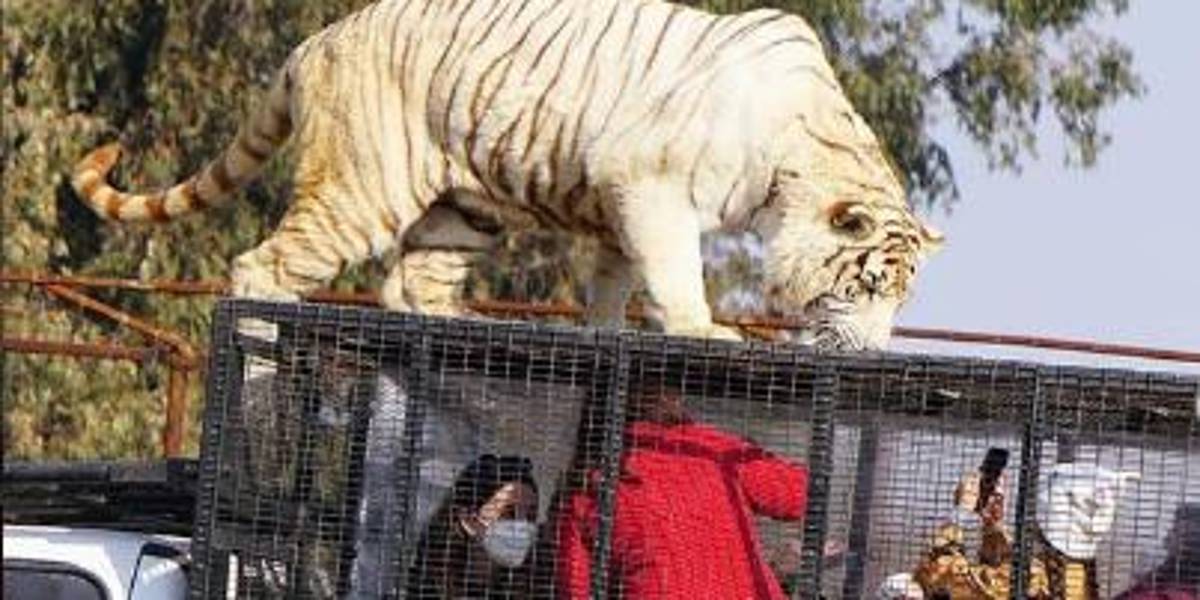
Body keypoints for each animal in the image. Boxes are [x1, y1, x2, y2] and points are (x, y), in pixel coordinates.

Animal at [72, 0, 942, 348]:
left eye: (900, 299)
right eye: (867, 285)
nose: (869, 351)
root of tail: (313, 41)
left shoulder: (620, 205)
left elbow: (615, 284)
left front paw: (602, 335)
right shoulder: (650, 183)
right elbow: (673, 274)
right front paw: (704, 330)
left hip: (466, 208)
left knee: (411, 282)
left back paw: (462, 328)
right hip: (360, 186)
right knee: (261, 265)